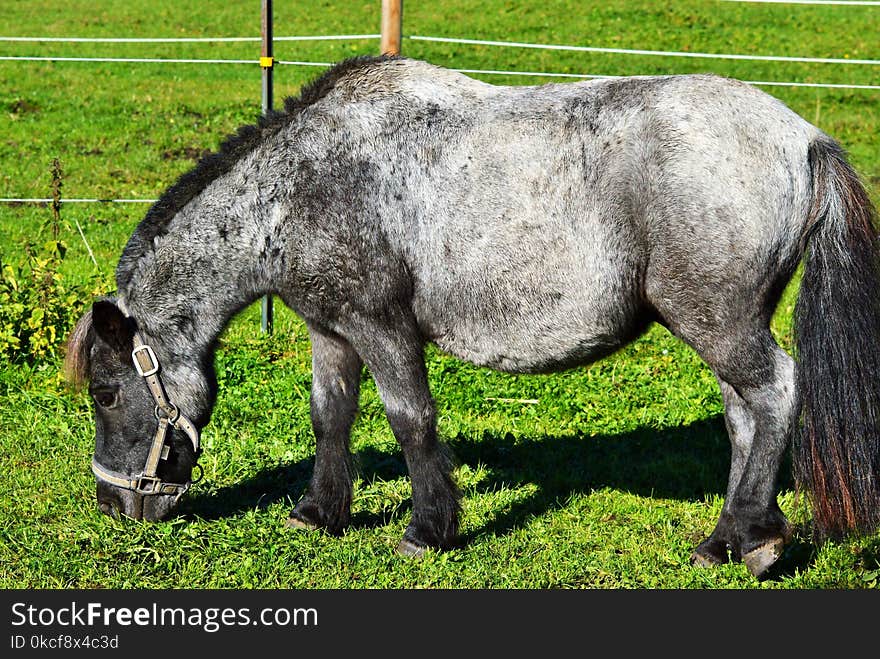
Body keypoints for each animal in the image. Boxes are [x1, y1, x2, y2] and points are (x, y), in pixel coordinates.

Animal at [67, 56, 880, 576]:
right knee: (745, 417)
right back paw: (724, 541)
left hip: (719, 324)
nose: (113, 504)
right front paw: (318, 512)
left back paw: (755, 539)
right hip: (721, 327)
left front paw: (427, 530)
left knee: (775, 395)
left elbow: (410, 419)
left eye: (105, 394)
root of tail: (803, 138)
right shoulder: (330, 330)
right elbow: (331, 416)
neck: (300, 186)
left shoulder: (382, 329)